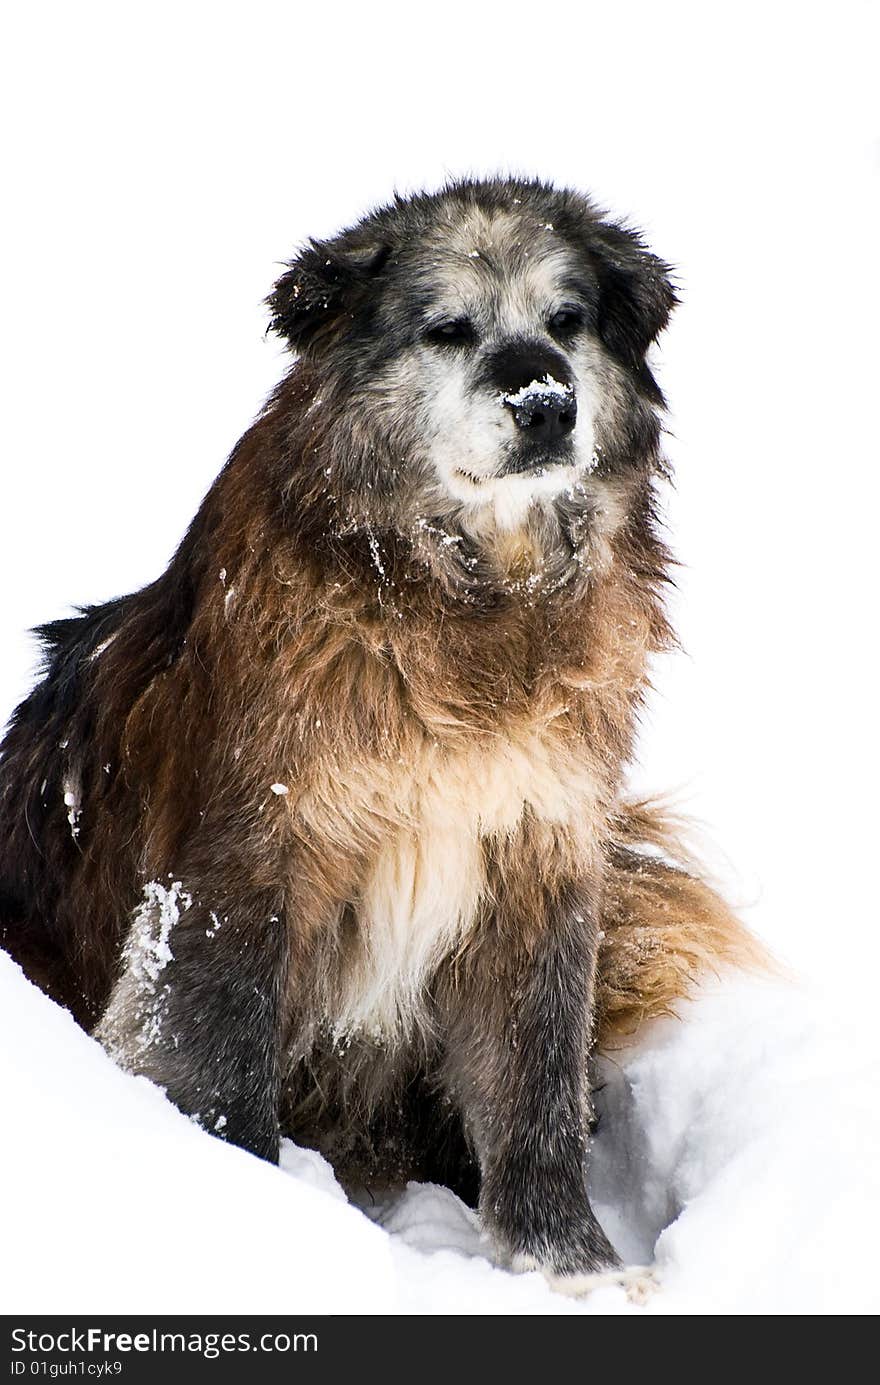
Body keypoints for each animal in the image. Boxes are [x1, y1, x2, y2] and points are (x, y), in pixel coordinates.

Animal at [0, 181, 759, 1285]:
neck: (465, 602)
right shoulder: (242, 863)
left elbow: (535, 1084)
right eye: (448, 330)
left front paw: (568, 1262)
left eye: (566, 322)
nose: (545, 400)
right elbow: (221, 1063)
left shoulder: (537, 861)